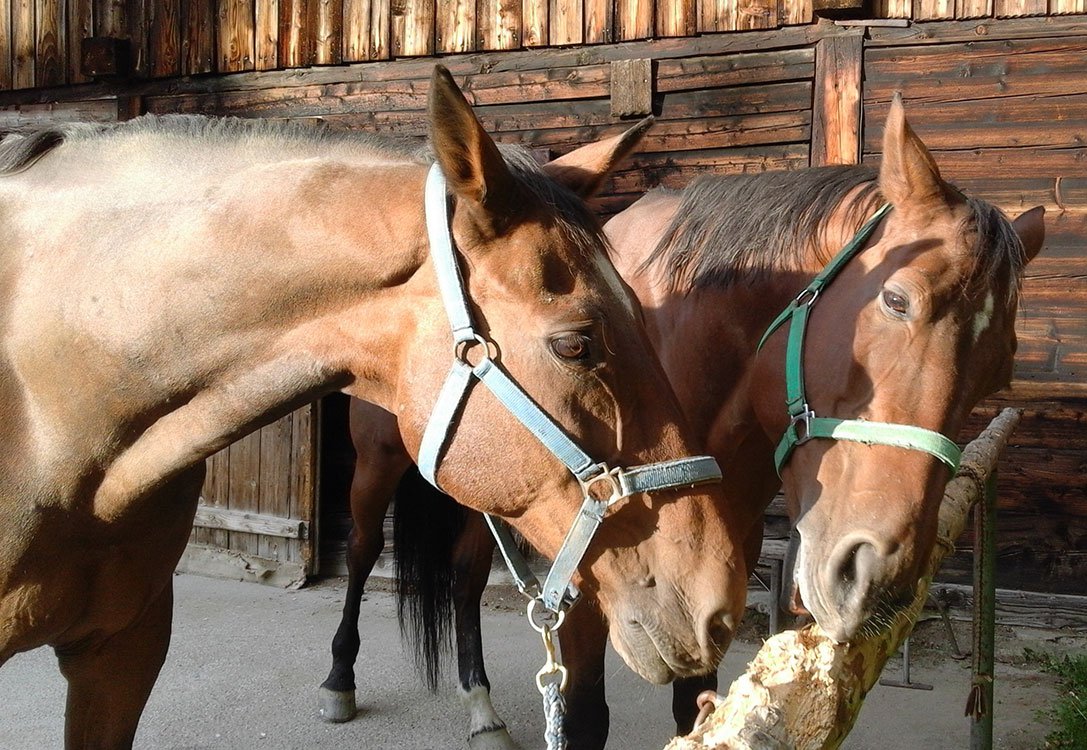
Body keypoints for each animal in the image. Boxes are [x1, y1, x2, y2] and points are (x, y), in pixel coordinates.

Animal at [319, 96, 1043, 743]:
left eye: (998, 373)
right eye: (895, 301)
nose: (876, 581)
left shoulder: (713, 572)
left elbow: (693, 704)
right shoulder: (584, 570)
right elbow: (584, 719)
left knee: (466, 578)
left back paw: (480, 706)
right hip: (380, 466)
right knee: (362, 552)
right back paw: (339, 681)